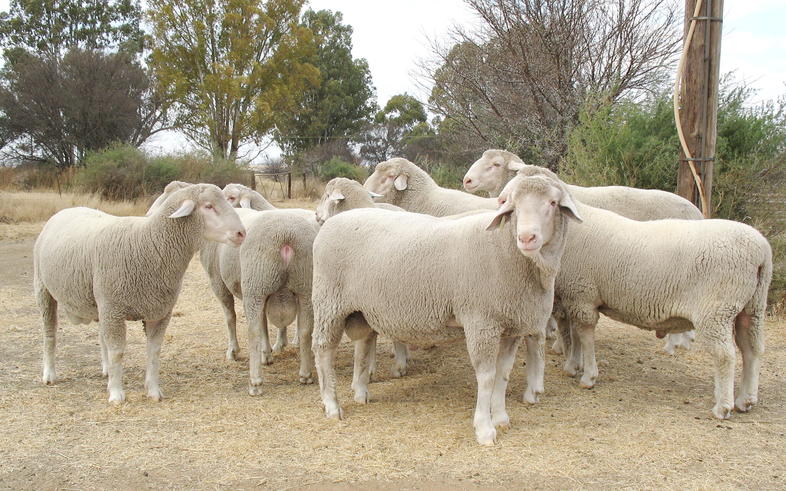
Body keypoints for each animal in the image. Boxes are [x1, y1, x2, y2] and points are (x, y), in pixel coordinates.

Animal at [33, 184, 245, 404]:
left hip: (100, 303)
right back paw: (49, 374)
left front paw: (153, 390)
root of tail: (66, 210)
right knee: (49, 332)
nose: (241, 233)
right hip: (43, 288)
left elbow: (153, 351)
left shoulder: (158, 312)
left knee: (101, 336)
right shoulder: (114, 309)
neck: (148, 244)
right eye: (209, 206)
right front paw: (116, 394)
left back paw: (106, 370)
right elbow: (117, 352)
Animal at [312, 174, 580, 446]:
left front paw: (501, 417)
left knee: (364, 343)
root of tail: (332, 222)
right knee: (323, 350)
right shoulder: (481, 322)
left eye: (553, 203)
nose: (526, 238)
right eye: (513, 206)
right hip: (328, 303)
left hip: (362, 310)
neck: (507, 250)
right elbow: (486, 376)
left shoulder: (510, 326)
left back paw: (361, 392)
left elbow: (503, 374)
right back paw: (332, 405)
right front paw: (484, 429)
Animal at [512, 167, 768, 420]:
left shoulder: (582, 294)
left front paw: (588, 376)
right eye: (514, 202)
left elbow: (583, 334)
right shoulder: (572, 295)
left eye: (552, 203)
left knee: (725, 356)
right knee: (751, 350)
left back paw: (723, 407)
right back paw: (746, 400)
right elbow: (572, 332)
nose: (526, 237)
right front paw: (574, 364)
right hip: (752, 308)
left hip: (716, 311)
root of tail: (761, 251)